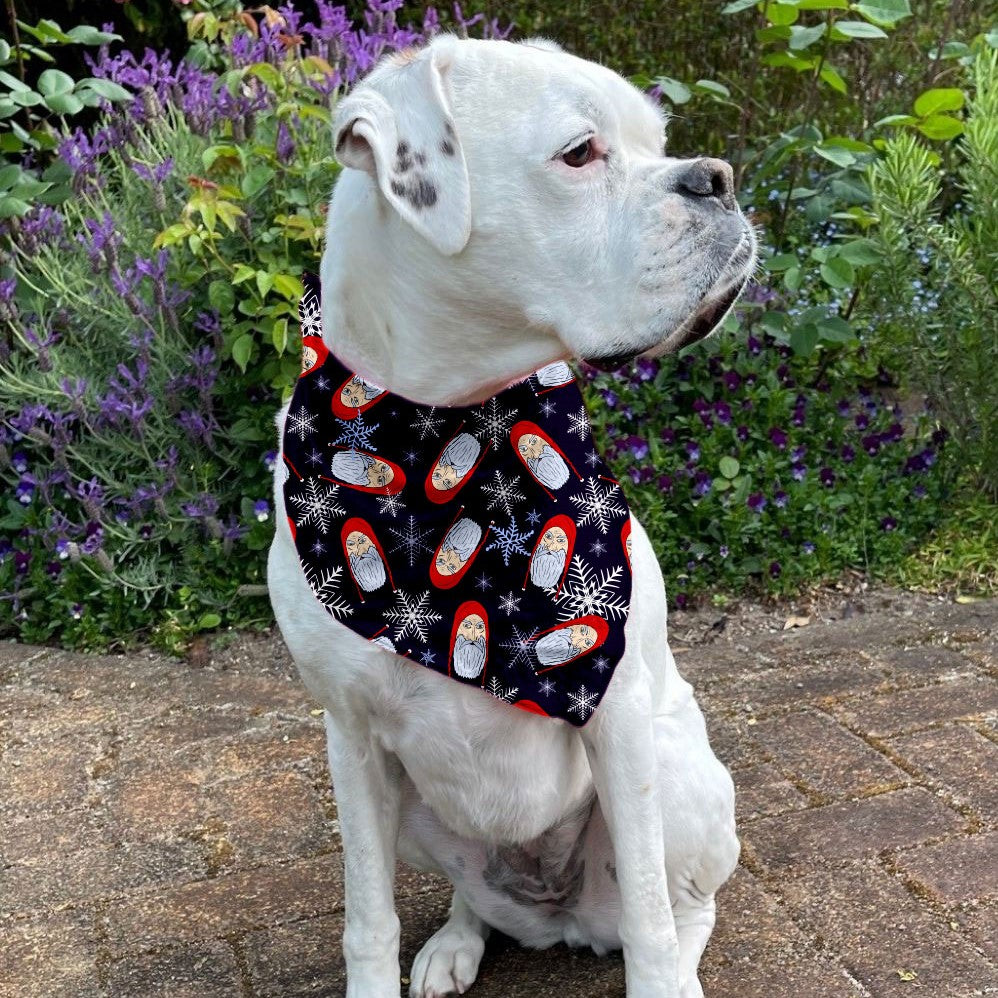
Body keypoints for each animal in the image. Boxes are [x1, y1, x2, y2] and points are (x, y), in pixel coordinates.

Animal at [268, 33, 756, 998]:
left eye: (659, 143)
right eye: (580, 153)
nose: (716, 176)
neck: (448, 437)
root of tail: (556, 914)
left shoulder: (618, 717)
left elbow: (649, 919)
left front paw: (659, 969)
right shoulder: (351, 740)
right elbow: (367, 919)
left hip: (678, 770)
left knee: (680, 907)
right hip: (421, 811)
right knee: (474, 895)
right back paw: (456, 942)